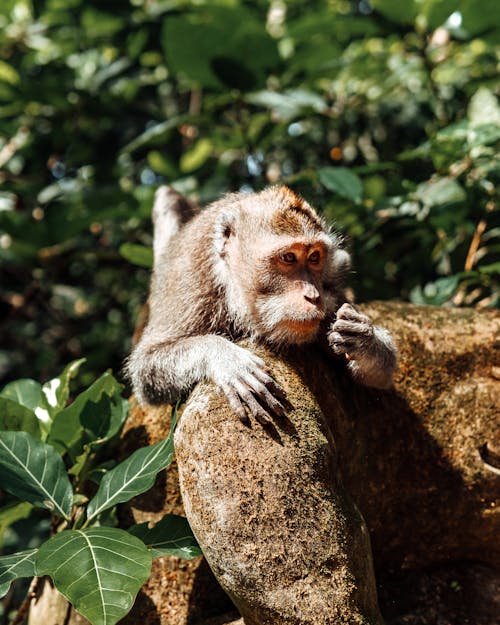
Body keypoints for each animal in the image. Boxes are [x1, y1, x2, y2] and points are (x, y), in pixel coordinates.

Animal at [127, 183, 396, 422]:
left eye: (314, 257)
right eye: (289, 257)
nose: (312, 295)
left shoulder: (331, 295)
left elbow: (379, 375)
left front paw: (364, 338)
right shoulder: (192, 283)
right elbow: (145, 369)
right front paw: (225, 357)